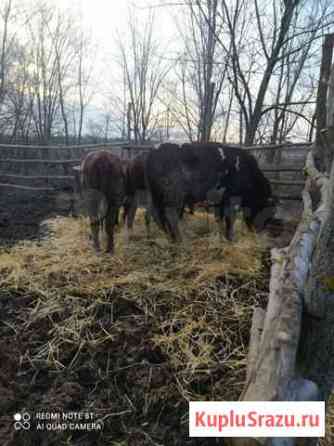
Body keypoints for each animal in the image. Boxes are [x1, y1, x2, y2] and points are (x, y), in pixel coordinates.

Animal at [146, 143, 276, 242]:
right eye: (268, 213)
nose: (257, 231)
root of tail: (155, 150)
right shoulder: (233, 198)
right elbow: (230, 219)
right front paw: (230, 238)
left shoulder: (222, 200)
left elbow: (220, 217)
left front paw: (221, 235)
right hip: (173, 195)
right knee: (169, 215)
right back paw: (177, 239)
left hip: (157, 195)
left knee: (154, 214)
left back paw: (164, 235)